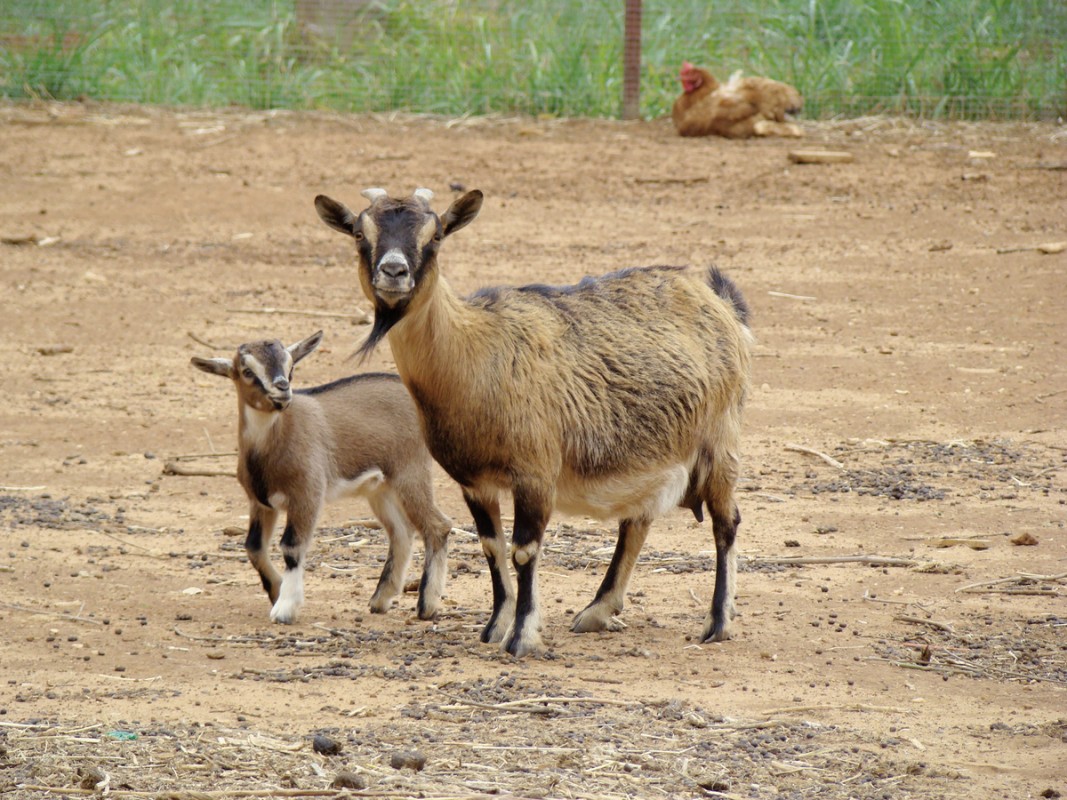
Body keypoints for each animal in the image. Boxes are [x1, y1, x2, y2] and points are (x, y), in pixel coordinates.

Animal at [192, 332, 450, 627]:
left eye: (291, 367)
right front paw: (276, 591)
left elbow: (291, 546)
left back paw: (426, 605)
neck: (271, 444)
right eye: (247, 371)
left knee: (438, 526)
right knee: (401, 532)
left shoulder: (306, 494)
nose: (283, 389)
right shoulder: (261, 503)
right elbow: (254, 547)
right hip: (380, 489)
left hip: (411, 473)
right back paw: (380, 600)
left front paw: (285, 608)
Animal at [311, 187, 755, 657]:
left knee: (726, 522)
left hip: (720, 441)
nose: (393, 272)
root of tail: (721, 302)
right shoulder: (475, 482)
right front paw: (494, 626)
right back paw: (597, 611)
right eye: (360, 233)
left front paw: (522, 635)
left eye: (436, 236)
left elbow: (524, 550)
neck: (472, 352)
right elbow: (491, 546)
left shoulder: (535, 472)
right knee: (637, 519)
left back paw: (717, 622)